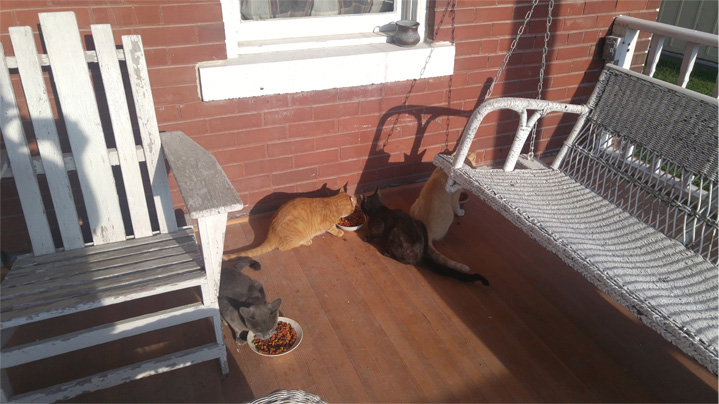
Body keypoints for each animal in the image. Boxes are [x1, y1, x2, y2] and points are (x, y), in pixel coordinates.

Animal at [222, 189, 358, 260]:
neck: (333, 202)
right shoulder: (327, 224)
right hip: (296, 236)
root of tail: (271, 234)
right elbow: (333, 229)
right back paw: (307, 241)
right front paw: (339, 232)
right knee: (284, 247)